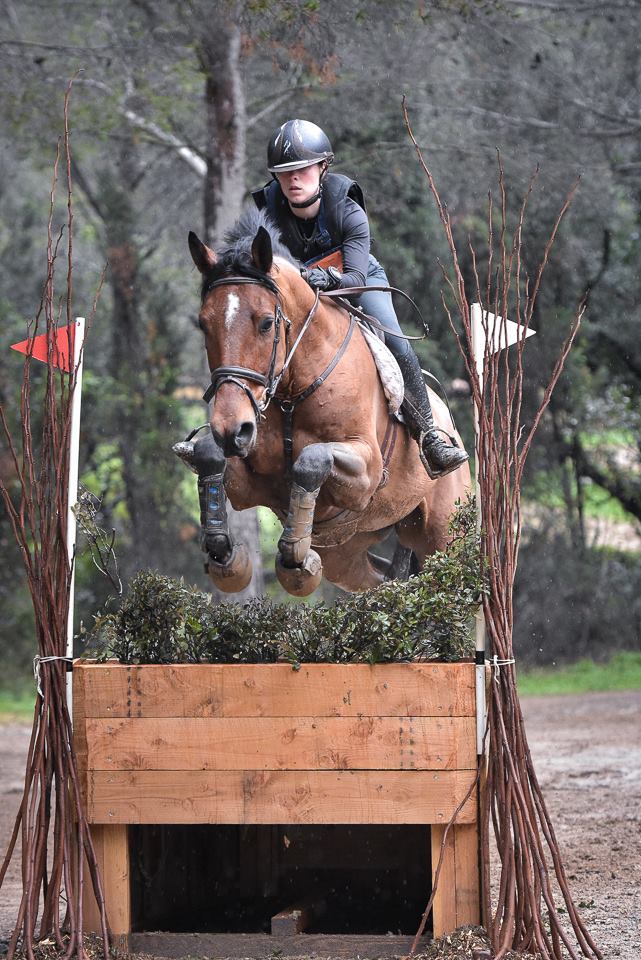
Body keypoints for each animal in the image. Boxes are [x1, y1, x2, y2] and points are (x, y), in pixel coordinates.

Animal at [176, 209, 470, 596]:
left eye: (266, 324)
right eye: (203, 324)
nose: (231, 429)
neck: (291, 392)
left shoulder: (367, 474)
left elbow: (311, 459)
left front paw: (294, 558)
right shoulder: (249, 483)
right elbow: (210, 454)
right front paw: (225, 556)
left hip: (444, 533)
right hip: (346, 551)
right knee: (382, 581)